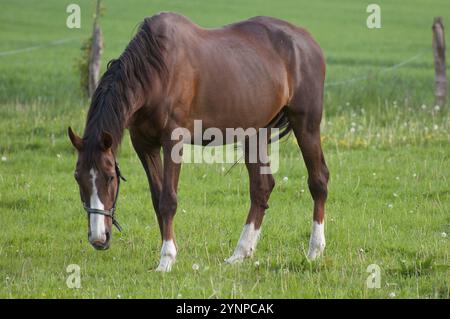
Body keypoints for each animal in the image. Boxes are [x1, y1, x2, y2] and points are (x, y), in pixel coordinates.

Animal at [67, 13, 326, 272]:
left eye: (111, 177)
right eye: (77, 177)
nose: (98, 238)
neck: (155, 72)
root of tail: (307, 41)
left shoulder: (173, 141)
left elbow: (168, 200)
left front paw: (166, 259)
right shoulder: (144, 145)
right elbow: (157, 198)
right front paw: (168, 250)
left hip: (306, 125)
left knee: (318, 180)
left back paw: (314, 251)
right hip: (255, 133)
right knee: (261, 189)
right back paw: (240, 253)